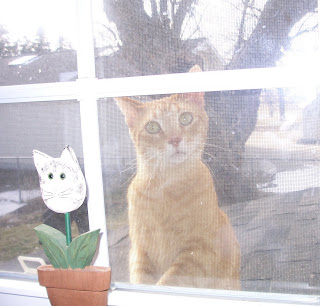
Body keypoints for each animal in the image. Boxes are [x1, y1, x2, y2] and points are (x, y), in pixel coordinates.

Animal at [116, 65, 239, 290]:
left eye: (185, 118)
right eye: (152, 127)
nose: (174, 139)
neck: (165, 189)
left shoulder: (199, 251)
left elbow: (169, 280)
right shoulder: (139, 250)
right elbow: (141, 280)